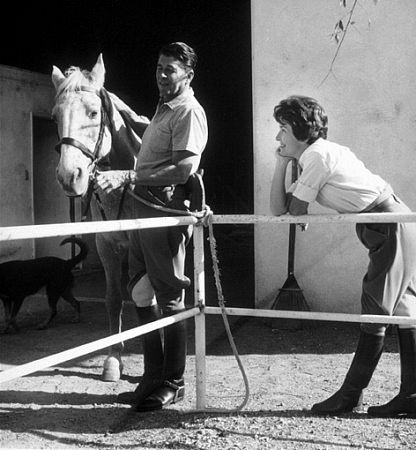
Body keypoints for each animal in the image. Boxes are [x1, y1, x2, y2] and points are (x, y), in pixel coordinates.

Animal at [51, 55, 149, 380]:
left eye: (93, 112)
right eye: (55, 117)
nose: (69, 176)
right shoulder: (107, 245)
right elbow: (114, 298)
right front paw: (113, 359)